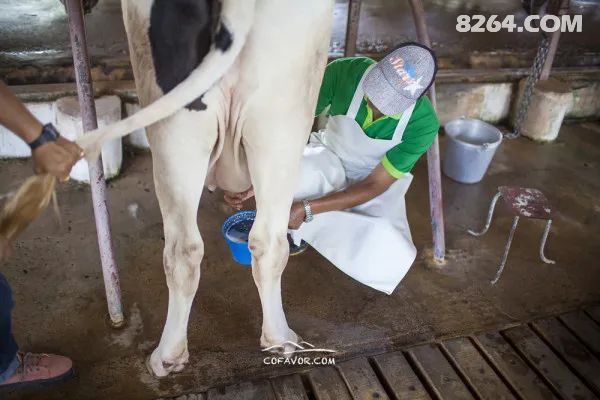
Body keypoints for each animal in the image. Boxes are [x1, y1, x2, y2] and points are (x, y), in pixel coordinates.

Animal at [77, 0, 334, 377]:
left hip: (180, 125)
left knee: (184, 249)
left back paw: (168, 356)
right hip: (282, 121)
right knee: (264, 243)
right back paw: (279, 339)